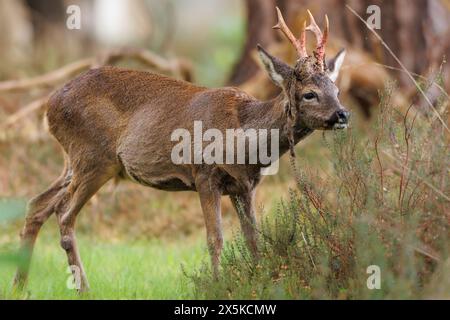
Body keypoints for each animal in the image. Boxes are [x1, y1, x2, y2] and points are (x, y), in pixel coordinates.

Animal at [13, 7, 348, 292]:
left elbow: (254, 239)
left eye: (336, 89)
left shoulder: (245, 186)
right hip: (94, 156)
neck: (245, 141)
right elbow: (215, 238)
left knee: (38, 205)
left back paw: (20, 285)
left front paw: (262, 280)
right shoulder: (204, 174)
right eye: (309, 94)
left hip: (73, 160)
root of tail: (49, 105)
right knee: (64, 214)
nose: (342, 114)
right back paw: (83, 288)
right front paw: (217, 285)